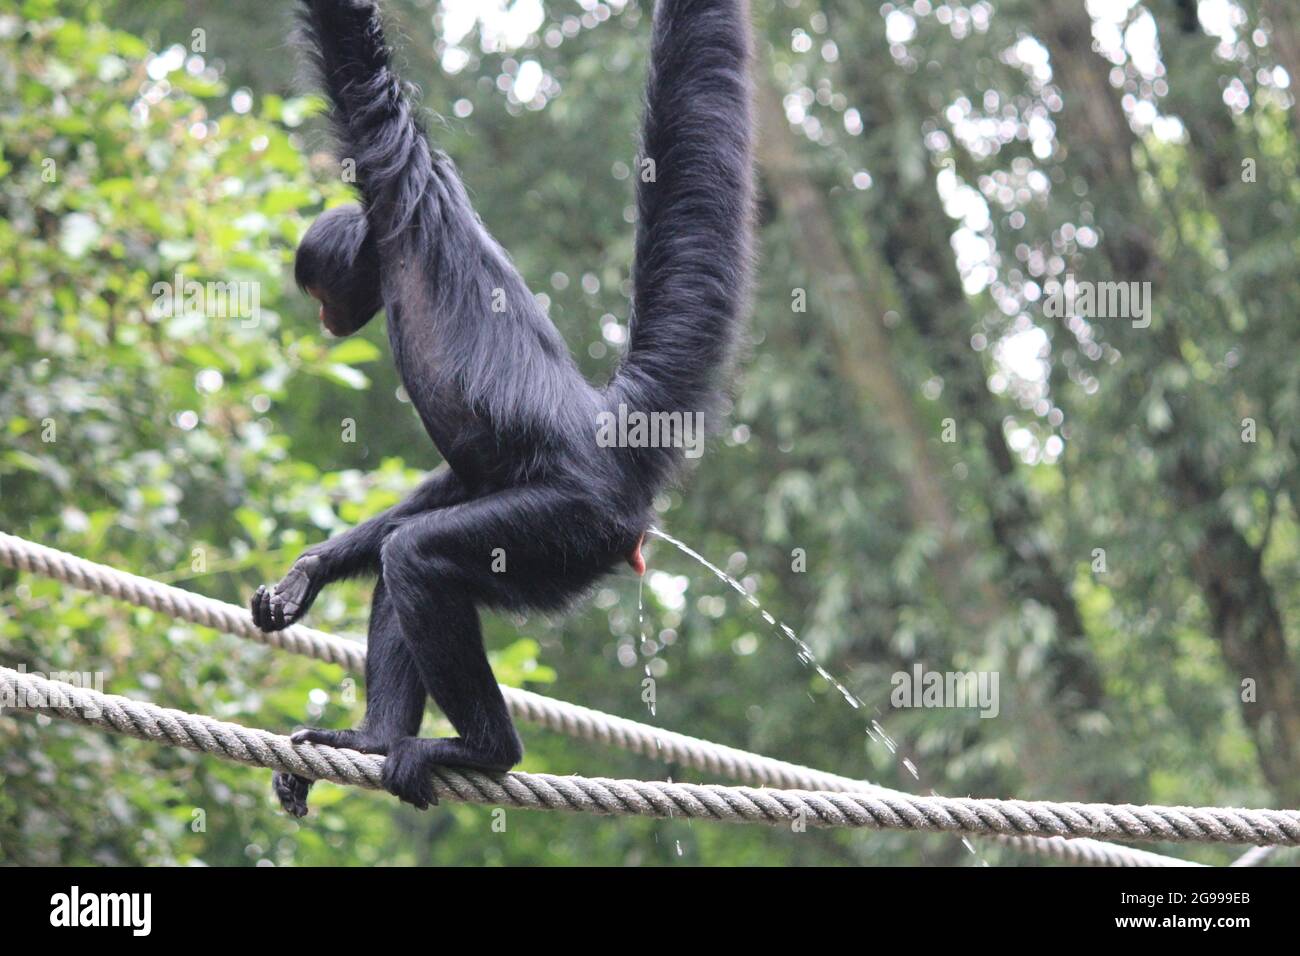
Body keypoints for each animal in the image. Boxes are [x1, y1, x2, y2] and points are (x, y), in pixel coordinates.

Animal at [252, 0, 759, 816]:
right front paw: (311, 570)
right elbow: (458, 476)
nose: (325, 318)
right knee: (402, 561)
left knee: (418, 557)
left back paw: (485, 750)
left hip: (572, 526)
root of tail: (607, 428)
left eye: (322, 290)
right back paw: (374, 739)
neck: (394, 239)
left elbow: (352, 54)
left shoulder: (389, 153)